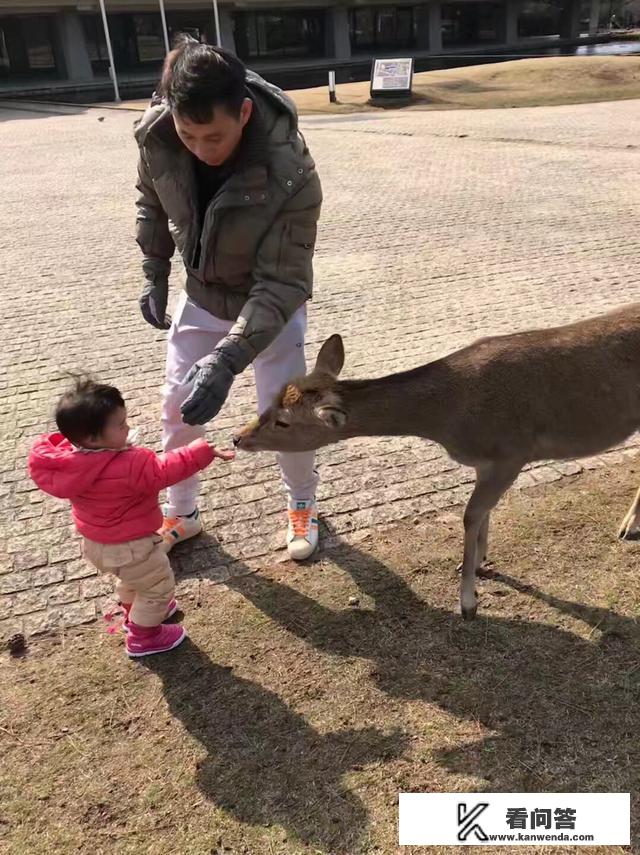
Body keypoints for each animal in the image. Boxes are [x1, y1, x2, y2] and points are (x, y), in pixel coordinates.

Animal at [235, 304, 640, 620]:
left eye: (283, 421)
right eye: (274, 396)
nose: (238, 437)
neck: (450, 418)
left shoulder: (512, 452)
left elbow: (470, 515)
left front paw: (468, 601)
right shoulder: (486, 462)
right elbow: (483, 513)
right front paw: (477, 562)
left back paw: (627, 527)